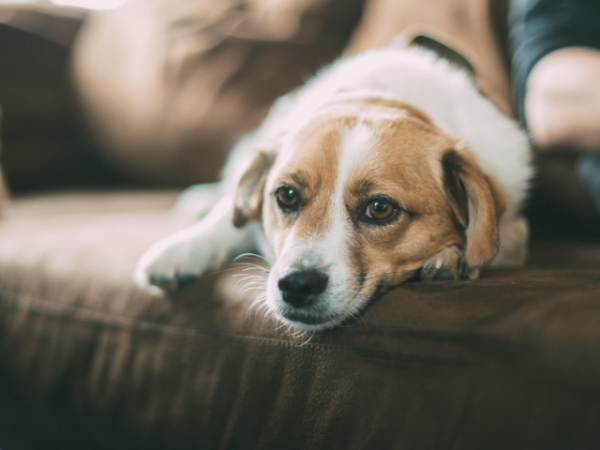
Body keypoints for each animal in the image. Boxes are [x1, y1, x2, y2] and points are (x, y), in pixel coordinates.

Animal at [134, 38, 532, 330]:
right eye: (287, 196)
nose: (296, 285)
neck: (382, 97)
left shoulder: (514, 226)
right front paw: (183, 249)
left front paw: (451, 255)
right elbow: (227, 219)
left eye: (380, 208)